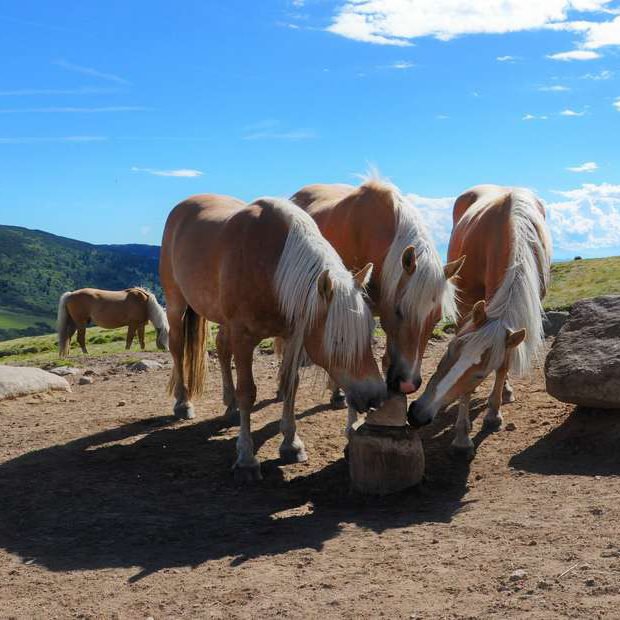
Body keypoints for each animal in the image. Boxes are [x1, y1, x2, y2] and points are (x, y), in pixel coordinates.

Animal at [157, 193, 386, 480]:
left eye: (368, 336)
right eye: (339, 340)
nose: (376, 396)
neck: (273, 265)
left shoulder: (290, 334)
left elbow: (290, 384)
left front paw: (291, 444)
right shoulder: (243, 336)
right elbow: (248, 391)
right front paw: (246, 458)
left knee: (221, 349)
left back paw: (230, 406)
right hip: (176, 306)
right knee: (178, 350)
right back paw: (183, 403)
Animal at [410, 184, 548, 460]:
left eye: (480, 375)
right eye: (449, 351)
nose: (417, 414)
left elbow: (503, 364)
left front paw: (494, 413)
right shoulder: (466, 304)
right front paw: (462, 437)